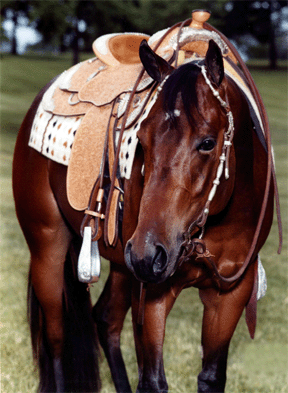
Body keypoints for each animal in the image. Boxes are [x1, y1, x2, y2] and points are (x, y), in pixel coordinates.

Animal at [12, 20, 280, 392]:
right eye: (140, 139)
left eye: (207, 143)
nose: (149, 252)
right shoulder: (152, 292)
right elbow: (152, 379)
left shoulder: (230, 295)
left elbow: (211, 376)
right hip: (49, 247)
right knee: (56, 337)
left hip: (123, 264)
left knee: (105, 319)